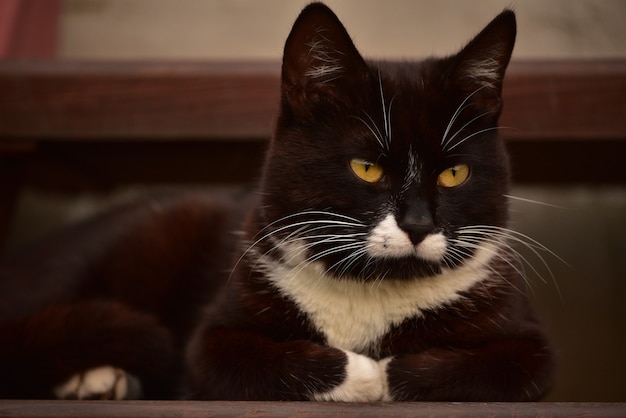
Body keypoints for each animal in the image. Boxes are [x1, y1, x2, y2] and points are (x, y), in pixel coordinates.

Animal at [2, 2, 552, 402]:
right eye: (366, 168)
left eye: (455, 173)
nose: (417, 224)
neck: (371, 288)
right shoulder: (213, 337)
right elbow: (237, 359)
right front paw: (365, 375)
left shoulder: (531, 343)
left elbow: (503, 367)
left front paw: (385, 371)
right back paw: (95, 376)